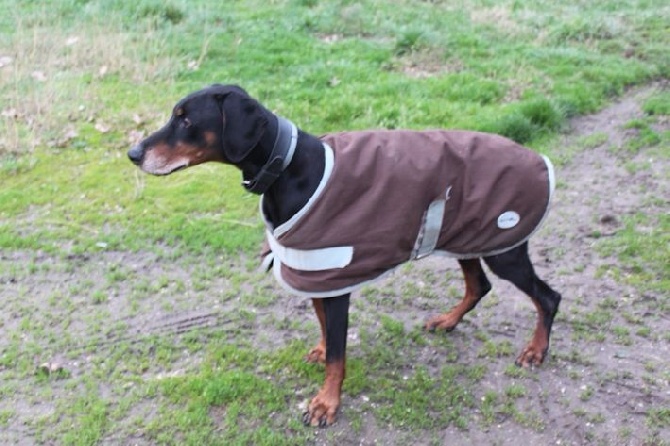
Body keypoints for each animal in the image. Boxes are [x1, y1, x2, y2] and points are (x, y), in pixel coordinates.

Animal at [129, 84, 564, 428]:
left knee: (547, 297)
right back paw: (448, 320)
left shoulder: (335, 277)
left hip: (504, 250)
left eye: (186, 120)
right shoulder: (316, 271)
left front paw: (326, 404)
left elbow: (339, 354)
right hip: (468, 236)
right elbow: (326, 332)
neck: (285, 166)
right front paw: (322, 354)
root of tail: (534, 156)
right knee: (479, 285)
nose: (133, 153)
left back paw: (535, 351)